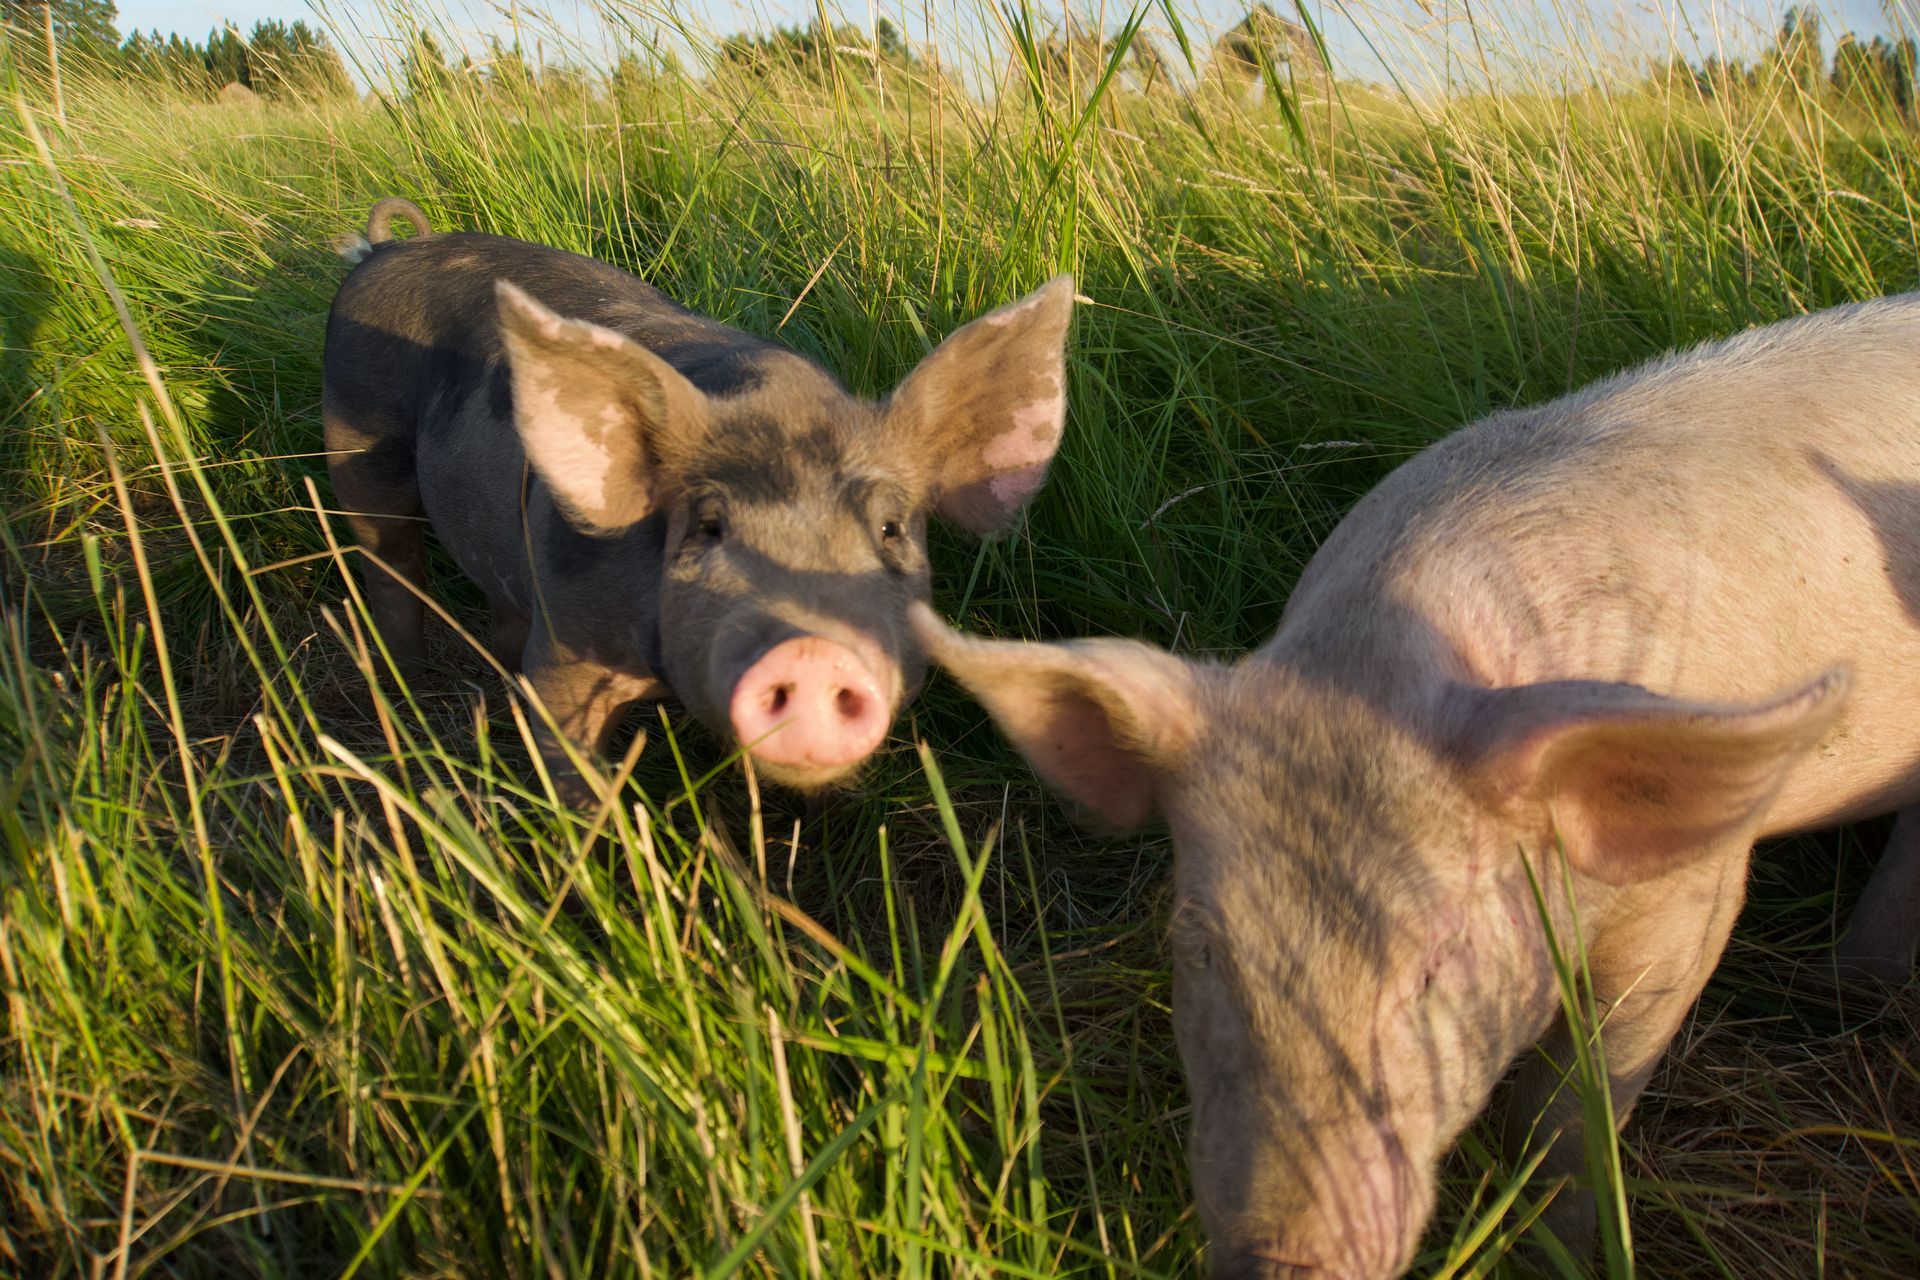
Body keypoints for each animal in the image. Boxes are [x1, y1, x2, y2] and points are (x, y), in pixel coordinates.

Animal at [323, 197, 1074, 798]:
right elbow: (565, 754)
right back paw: (409, 687)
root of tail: (387, 248)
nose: (810, 650)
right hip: (355, 444)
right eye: (709, 527)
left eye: (890, 529)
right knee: (389, 565)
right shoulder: (564, 646)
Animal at [912, 292, 1920, 1278]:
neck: (1379, 651)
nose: (1276, 1263)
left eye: (1437, 961)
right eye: (1196, 944)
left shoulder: (1697, 891)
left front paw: (1560, 1249)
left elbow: (1574, 1107)